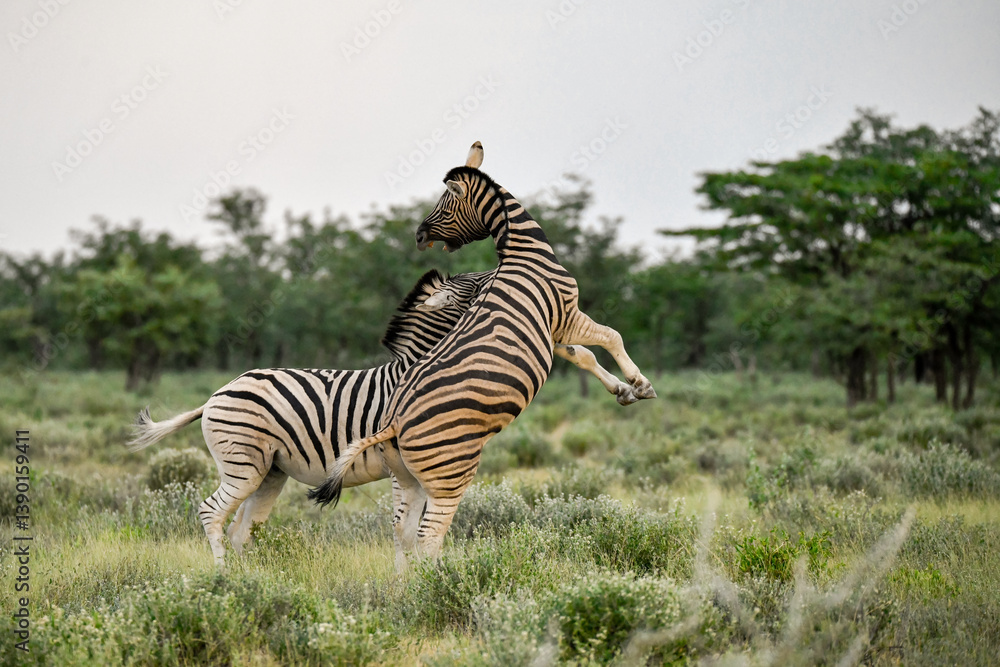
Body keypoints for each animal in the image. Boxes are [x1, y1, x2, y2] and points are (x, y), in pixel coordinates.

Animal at [128, 267, 632, 564]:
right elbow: (407, 530)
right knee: (211, 513)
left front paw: (624, 387)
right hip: (244, 463)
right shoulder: (399, 464)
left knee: (240, 528)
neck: (418, 366)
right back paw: (221, 583)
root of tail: (217, 393)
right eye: (474, 282)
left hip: (270, 472)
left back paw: (246, 583)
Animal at [310, 141, 656, 569]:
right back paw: (442, 582)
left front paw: (622, 391)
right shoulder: (567, 313)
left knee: (403, 532)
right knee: (429, 536)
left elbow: (584, 357)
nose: (418, 234)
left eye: (443, 205)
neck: (524, 252)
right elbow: (612, 336)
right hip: (450, 472)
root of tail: (393, 421)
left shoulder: (554, 331)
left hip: (407, 477)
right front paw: (641, 384)